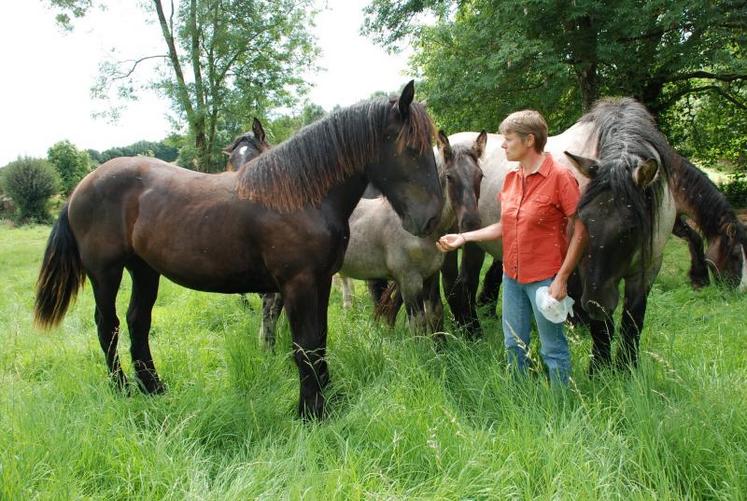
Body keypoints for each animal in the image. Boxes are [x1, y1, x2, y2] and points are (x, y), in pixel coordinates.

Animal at [33, 82, 444, 418]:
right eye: (412, 148)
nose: (429, 220)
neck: (299, 194)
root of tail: (80, 188)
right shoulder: (297, 284)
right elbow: (304, 344)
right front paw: (312, 412)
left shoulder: (321, 281)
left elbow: (319, 341)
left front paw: (327, 398)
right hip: (105, 272)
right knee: (109, 324)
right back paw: (122, 389)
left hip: (145, 270)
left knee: (138, 321)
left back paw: (154, 387)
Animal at [260, 129, 488, 342]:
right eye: (450, 177)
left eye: (480, 175)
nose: (471, 222)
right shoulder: (409, 280)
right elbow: (417, 324)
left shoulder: (430, 276)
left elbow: (435, 314)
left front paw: (441, 350)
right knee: (270, 308)